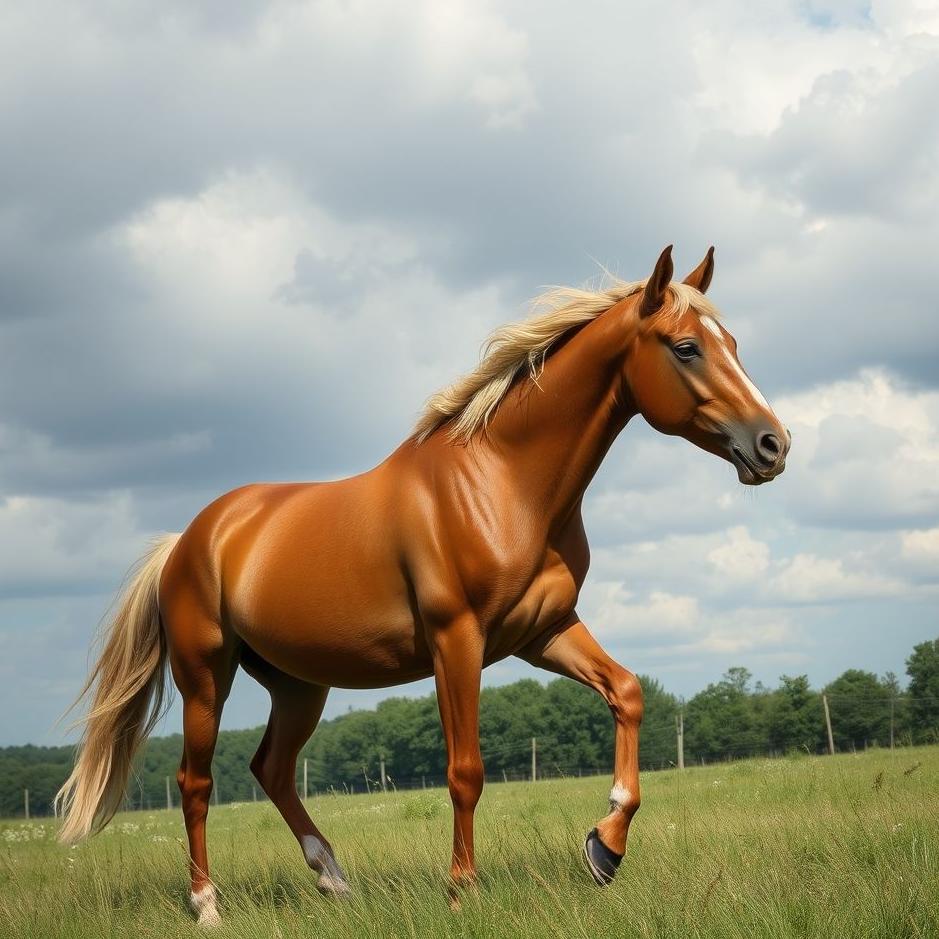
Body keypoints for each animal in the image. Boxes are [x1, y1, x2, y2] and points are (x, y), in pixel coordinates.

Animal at [56, 245, 788, 924]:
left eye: (732, 344)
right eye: (687, 347)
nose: (772, 444)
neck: (502, 482)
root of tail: (188, 540)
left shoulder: (544, 632)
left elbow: (627, 693)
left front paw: (604, 847)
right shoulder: (455, 641)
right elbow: (465, 770)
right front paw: (462, 888)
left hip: (298, 684)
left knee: (271, 768)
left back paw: (333, 879)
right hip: (206, 675)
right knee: (197, 780)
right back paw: (208, 903)